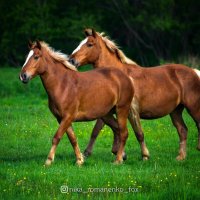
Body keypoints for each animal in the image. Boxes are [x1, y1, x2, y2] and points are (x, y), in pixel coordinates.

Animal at [69, 28, 200, 160]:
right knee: (183, 130)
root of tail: (194, 72)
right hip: (175, 111)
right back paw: (180, 157)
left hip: (193, 108)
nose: (71, 60)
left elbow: (138, 133)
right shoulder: (108, 110)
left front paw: (144, 156)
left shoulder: (131, 110)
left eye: (90, 44)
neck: (118, 77)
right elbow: (100, 129)